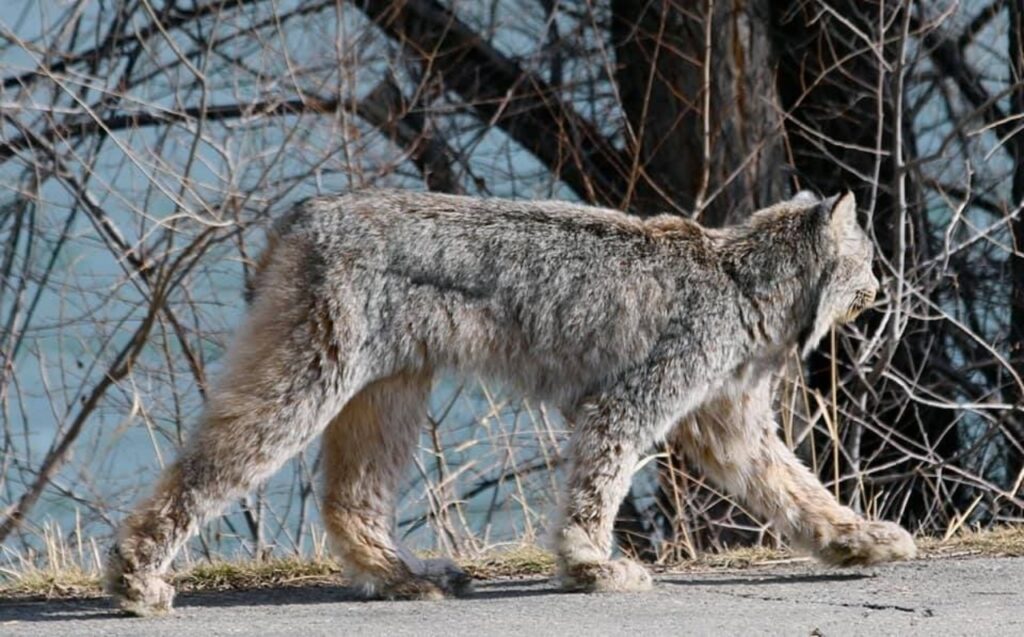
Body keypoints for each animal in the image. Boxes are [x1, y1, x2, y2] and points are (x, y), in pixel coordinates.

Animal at [108, 188, 917, 614]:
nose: (883, 289)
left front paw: (856, 539)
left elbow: (796, 488)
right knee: (215, 460)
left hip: (388, 384)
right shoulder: (629, 402)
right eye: (865, 262)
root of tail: (308, 208)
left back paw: (401, 577)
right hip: (310, 372)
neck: (749, 279)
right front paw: (592, 564)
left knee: (348, 494)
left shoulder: (727, 423)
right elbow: (601, 481)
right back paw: (135, 575)